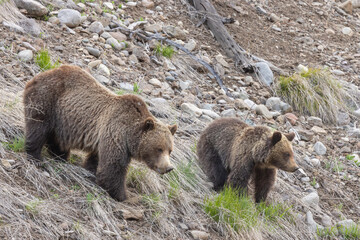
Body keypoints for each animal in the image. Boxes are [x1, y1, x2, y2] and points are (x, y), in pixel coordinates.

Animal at [23, 64, 178, 202]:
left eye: (170, 150)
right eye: (159, 149)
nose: (168, 168)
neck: (130, 135)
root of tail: (38, 76)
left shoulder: (105, 138)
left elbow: (96, 159)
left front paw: (90, 171)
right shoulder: (116, 134)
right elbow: (113, 168)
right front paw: (124, 195)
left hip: (62, 120)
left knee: (56, 139)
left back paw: (60, 157)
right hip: (47, 100)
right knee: (38, 128)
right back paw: (36, 156)